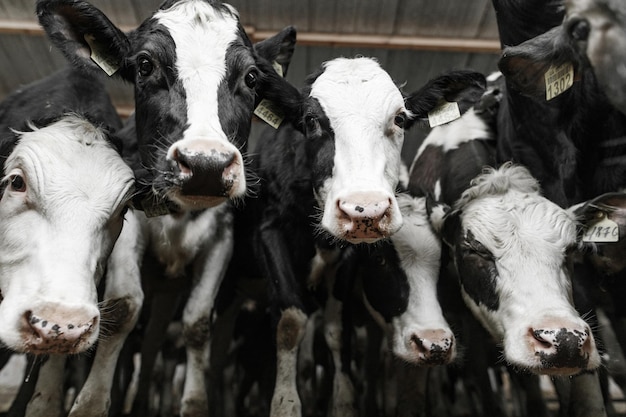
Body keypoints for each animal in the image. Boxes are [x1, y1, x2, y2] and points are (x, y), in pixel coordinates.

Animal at [36, 0, 298, 416]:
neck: (179, 214)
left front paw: (193, 403)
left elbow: (197, 324)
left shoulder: (221, 239)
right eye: (145, 65)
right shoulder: (128, 222)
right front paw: (90, 402)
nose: (206, 165)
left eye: (252, 77)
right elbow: (124, 308)